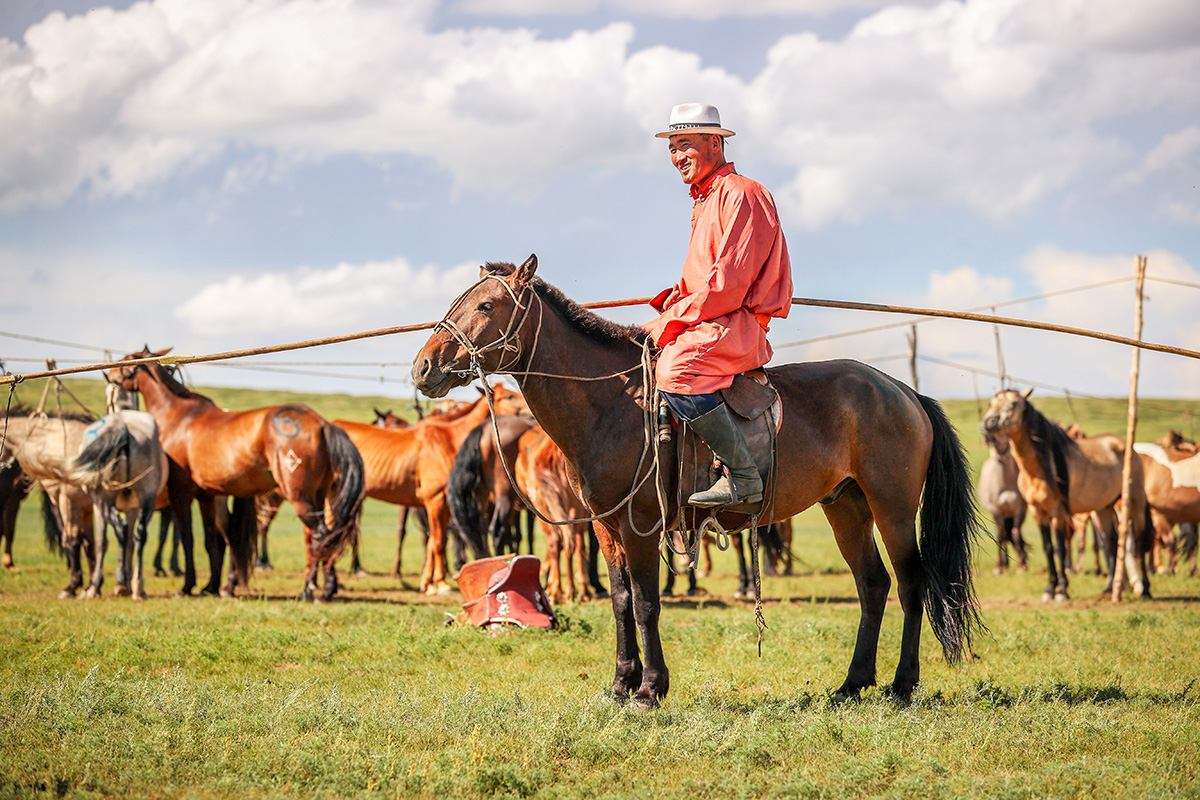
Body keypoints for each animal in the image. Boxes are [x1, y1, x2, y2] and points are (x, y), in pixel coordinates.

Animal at [112, 350, 364, 599]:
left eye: (127, 360)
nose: (110, 373)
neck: (179, 417)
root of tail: (322, 424)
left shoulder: (180, 492)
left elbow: (188, 539)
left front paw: (187, 586)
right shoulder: (206, 496)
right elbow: (211, 540)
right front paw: (211, 586)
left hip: (300, 498)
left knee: (321, 535)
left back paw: (317, 590)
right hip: (317, 497)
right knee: (323, 535)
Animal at [412, 257, 984, 705]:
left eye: (487, 307)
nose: (423, 367)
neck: (612, 404)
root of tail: (902, 391)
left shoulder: (640, 525)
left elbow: (647, 603)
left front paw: (650, 690)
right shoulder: (605, 527)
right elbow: (620, 601)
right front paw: (620, 686)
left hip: (892, 507)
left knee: (910, 583)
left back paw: (903, 684)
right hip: (846, 507)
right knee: (873, 585)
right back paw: (852, 683)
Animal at [979, 431, 1027, 575]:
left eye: (1005, 433)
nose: (989, 439)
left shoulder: (1019, 510)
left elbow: (1016, 535)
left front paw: (1022, 566)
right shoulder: (997, 511)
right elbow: (1000, 536)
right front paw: (999, 566)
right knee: (1004, 534)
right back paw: (1005, 564)